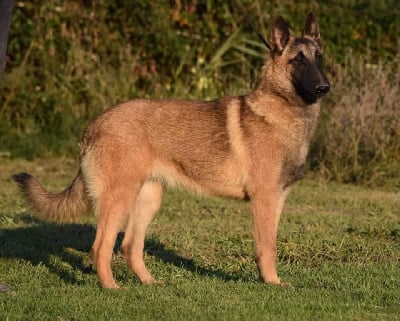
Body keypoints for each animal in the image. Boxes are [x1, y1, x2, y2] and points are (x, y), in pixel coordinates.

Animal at [13, 12, 332, 288]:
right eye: (298, 60)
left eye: (318, 57)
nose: (324, 88)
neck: (282, 111)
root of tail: (95, 125)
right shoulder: (264, 199)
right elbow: (267, 247)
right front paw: (272, 284)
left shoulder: (278, 199)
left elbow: (272, 243)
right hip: (119, 199)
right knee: (101, 246)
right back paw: (111, 287)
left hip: (148, 199)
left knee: (129, 245)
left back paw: (149, 284)